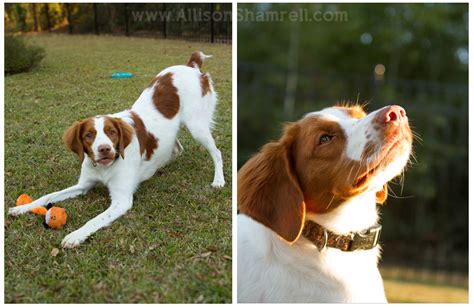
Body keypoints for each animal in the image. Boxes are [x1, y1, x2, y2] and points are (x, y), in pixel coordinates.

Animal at [10, 50, 225, 248]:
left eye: (112, 132)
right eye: (89, 135)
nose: (104, 149)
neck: (104, 167)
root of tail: (191, 65)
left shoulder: (121, 201)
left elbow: (95, 219)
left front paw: (75, 235)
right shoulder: (83, 185)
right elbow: (49, 195)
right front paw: (23, 207)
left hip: (196, 126)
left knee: (216, 153)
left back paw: (218, 180)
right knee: (177, 148)